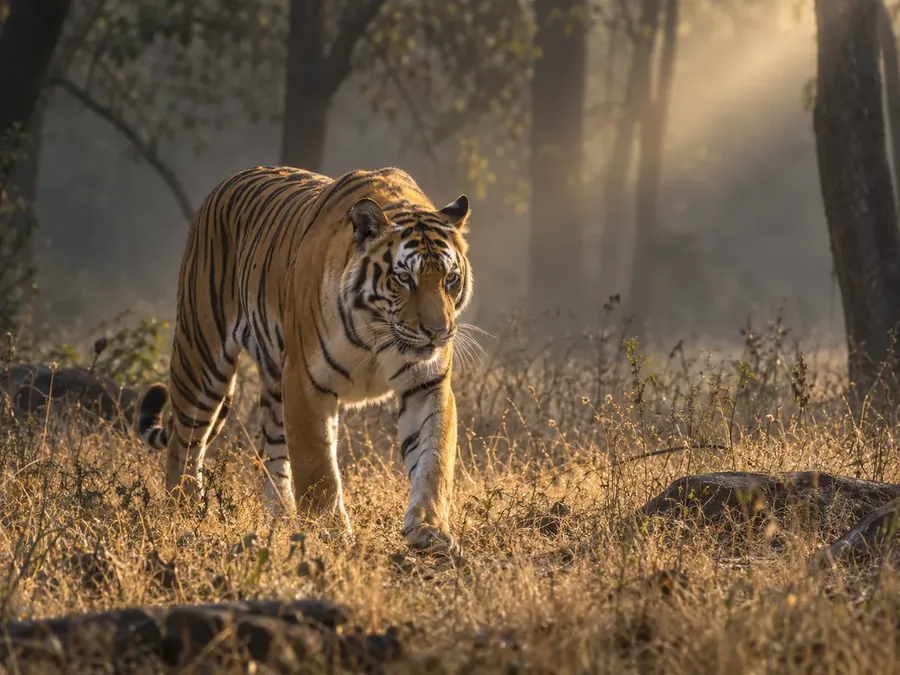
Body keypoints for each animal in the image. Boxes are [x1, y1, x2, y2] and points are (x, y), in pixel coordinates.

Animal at [135, 165, 473, 552]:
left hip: (273, 382)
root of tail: (225, 183)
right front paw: (330, 532)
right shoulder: (306, 381)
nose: (438, 331)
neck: (378, 335)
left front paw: (430, 531)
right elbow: (318, 466)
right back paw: (186, 512)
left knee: (269, 453)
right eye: (404, 278)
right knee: (184, 443)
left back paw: (280, 519)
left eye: (450, 279)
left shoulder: (427, 385)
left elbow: (434, 460)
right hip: (201, 357)